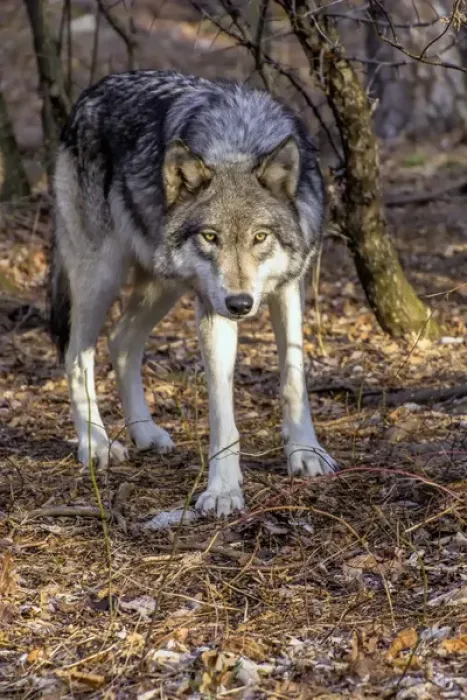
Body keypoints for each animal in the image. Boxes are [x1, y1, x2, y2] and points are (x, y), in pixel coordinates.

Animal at [50, 69, 336, 517]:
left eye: (259, 237)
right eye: (210, 237)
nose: (241, 304)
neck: (237, 140)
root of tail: (88, 95)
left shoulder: (289, 288)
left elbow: (293, 379)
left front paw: (305, 451)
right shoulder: (212, 308)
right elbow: (222, 412)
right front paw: (223, 490)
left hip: (164, 284)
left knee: (121, 342)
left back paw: (145, 432)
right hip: (99, 277)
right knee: (77, 356)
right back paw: (96, 443)